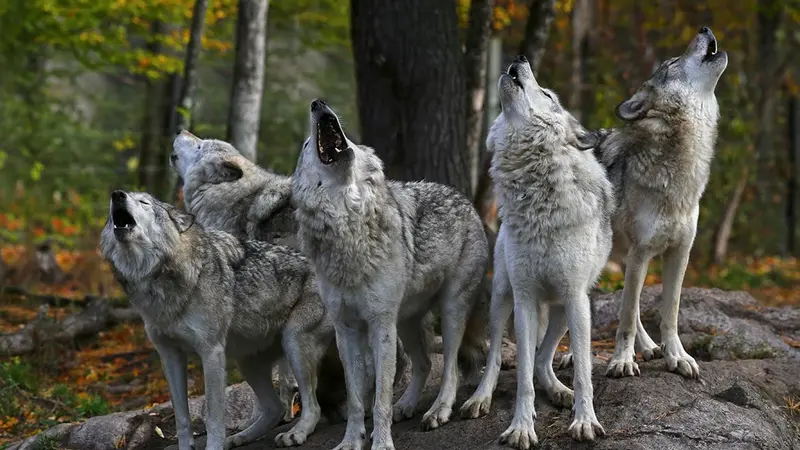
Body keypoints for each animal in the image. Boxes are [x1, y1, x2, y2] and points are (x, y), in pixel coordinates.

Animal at [99, 190, 336, 449]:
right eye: (118, 198)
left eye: (144, 202)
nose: (117, 195)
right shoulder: (170, 357)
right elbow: (182, 417)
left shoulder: (211, 352)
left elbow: (213, 414)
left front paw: (213, 446)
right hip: (247, 363)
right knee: (274, 408)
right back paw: (238, 438)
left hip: (293, 344)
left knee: (312, 405)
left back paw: (297, 433)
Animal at [291, 99, 490, 450]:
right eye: (305, 146)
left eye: (353, 139)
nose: (318, 103)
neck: (348, 224)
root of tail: (464, 198)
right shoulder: (347, 332)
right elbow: (357, 400)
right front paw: (351, 441)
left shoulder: (380, 325)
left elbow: (380, 397)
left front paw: (382, 442)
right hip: (407, 322)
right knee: (425, 364)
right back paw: (407, 406)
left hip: (451, 311)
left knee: (451, 367)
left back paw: (439, 411)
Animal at [459, 55, 613, 448]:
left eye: (546, 94)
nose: (520, 58)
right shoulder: (525, 298)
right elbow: (522, 377)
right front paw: (521, 427)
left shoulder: (575, 298)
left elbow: (583, 372)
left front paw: (584, 421)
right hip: (503, 298)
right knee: (498, 358)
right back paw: (480, 398)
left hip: (567, 308)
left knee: (545, 359)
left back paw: (559, 391)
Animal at [572, 26, 726, 380]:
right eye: (672, 63)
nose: (704, 28)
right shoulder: (642, 252)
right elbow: (627, 316)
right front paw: (621, 361)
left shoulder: (678, 253)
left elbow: (668, 313)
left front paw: (677, 357)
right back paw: (575, 356)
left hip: (621, 258)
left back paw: (649, 348)